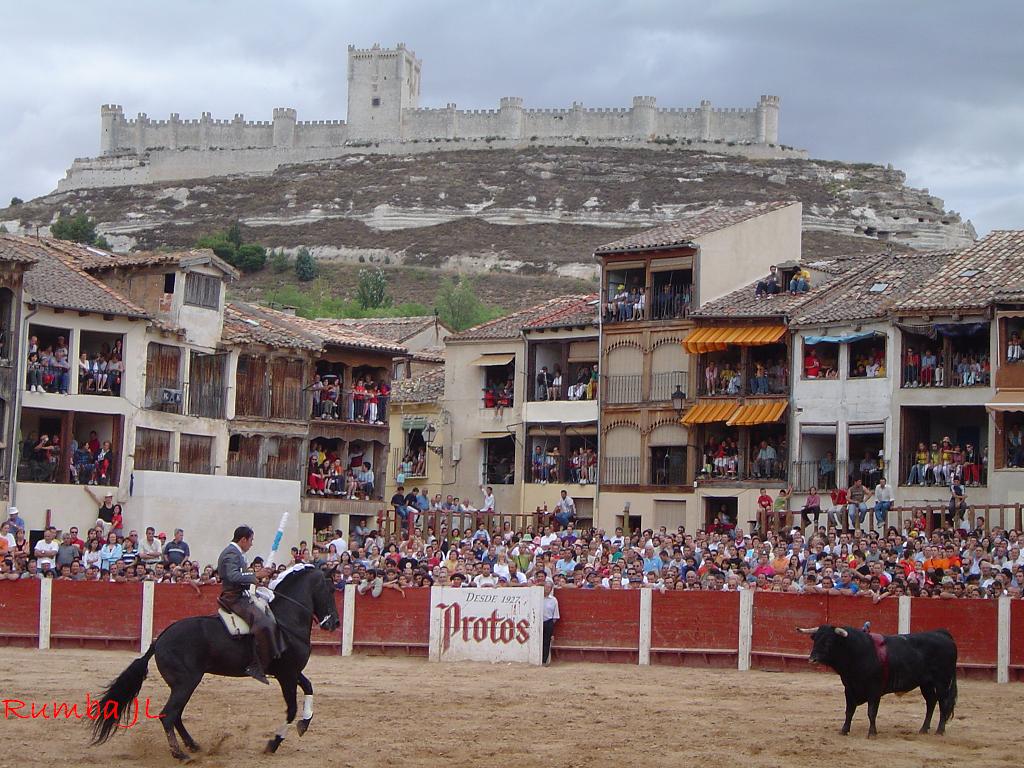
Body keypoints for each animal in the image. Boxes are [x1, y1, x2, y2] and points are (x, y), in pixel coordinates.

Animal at [92, 569, 339, 761]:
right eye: (330, 589)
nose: (334, 623)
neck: (287, 621)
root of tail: (158, 640)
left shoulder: (290, 672)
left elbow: (309, 688)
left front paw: (304, 724)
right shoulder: (287, 674)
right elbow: (291, 708)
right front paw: (274, 743)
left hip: (184, 684)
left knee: (176, 715)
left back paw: (193, 745)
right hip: (187, 682)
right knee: (168, 715)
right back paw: (181, 755)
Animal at [798, 626, 958, 737]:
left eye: (829, 641)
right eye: (815, 639)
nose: (812, 659)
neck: (857, 652)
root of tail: (942, 633)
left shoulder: (874, 690)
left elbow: (871, 712)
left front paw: (872, 733)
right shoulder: (849, 688)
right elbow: (849, 711)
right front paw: (844, 730)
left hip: (942, 682)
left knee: (943, 703)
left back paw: (939, 731)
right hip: (926, 684)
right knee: (931, 702)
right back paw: (923, 729)